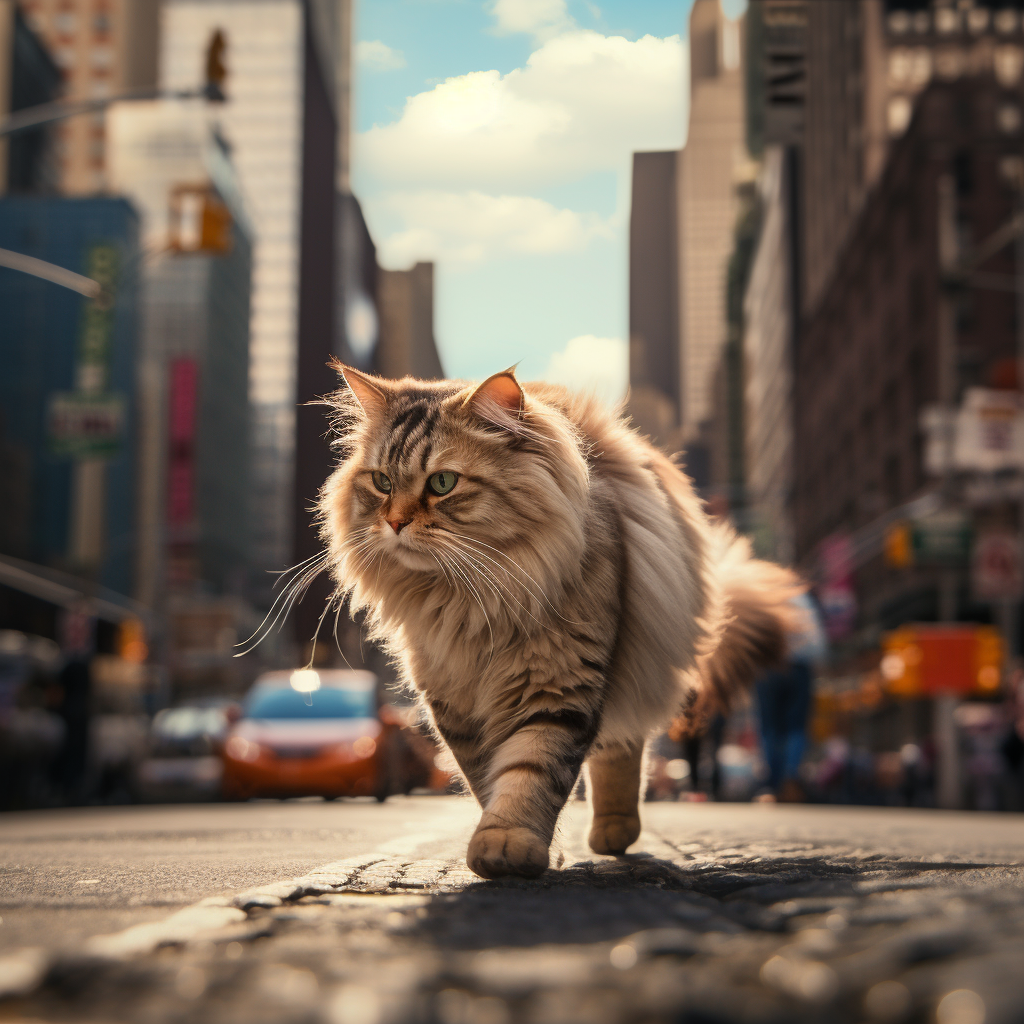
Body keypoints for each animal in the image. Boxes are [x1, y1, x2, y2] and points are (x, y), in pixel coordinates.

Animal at [317, 368, 798, 880]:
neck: (471, 600)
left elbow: (530, 772)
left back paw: (614, 833)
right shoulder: (454, 700)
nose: (393, 523)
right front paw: (533, 847)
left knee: (622, 749)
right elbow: (487, 777)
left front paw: (507, 845)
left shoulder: (559, 685)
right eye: (382, 482)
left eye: (442, 483)